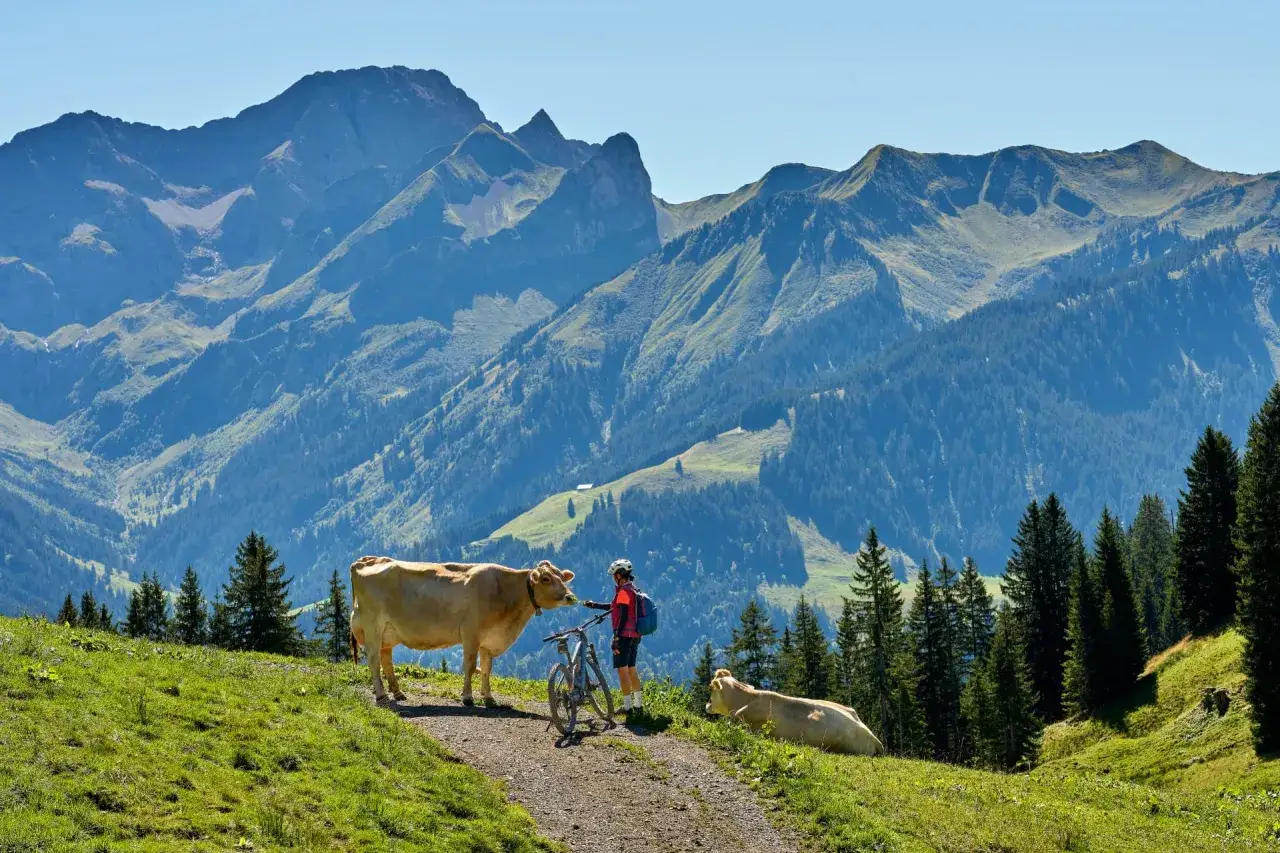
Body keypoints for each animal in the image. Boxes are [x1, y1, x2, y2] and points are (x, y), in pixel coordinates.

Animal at [348, 556, 578, 705]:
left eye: (562, 577)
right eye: (546, 579)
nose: (570, 597)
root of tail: (366, 560)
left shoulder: (489, 640)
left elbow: (486, 669)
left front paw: (488, 698)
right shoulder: (471, 633)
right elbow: (469, 666)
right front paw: (468, 697)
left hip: (387, 632)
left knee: (386, 659)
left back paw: (397, 693)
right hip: (372, 626)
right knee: (374, 660)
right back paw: (381, 695)